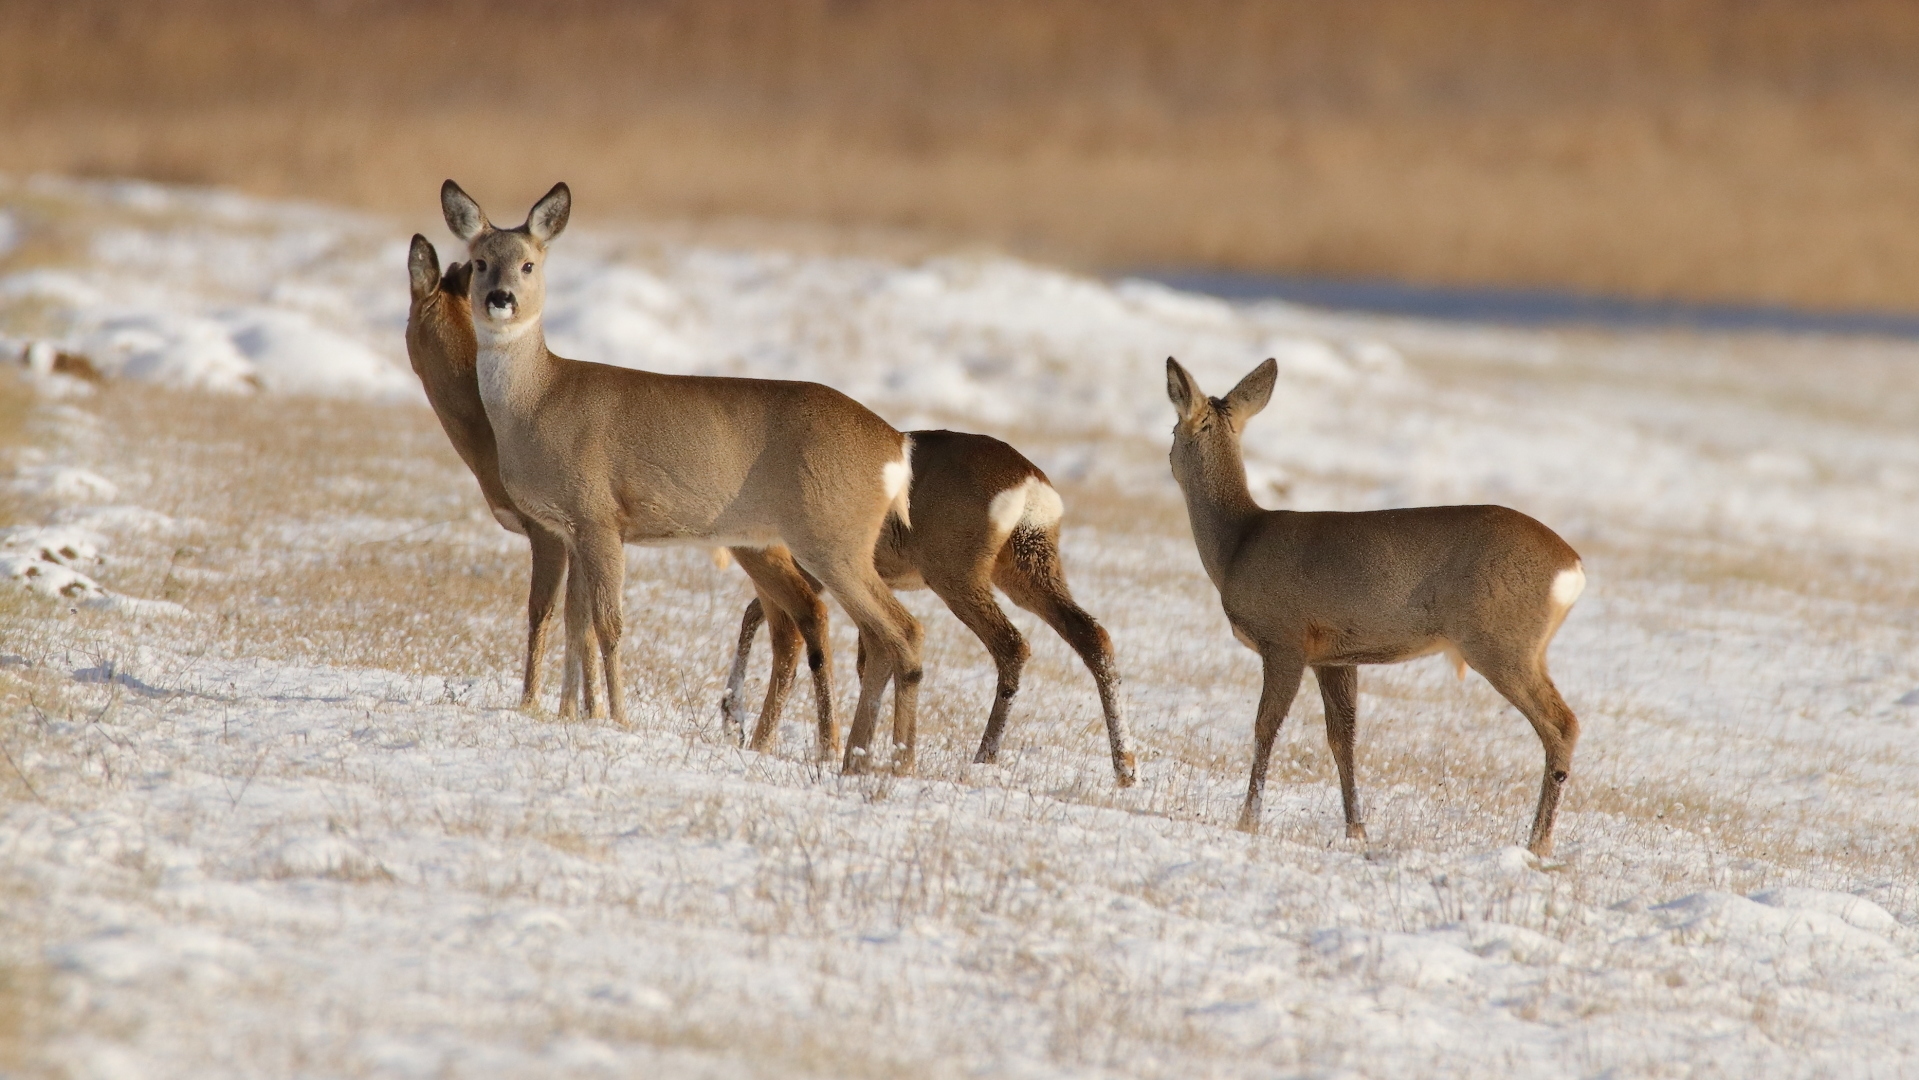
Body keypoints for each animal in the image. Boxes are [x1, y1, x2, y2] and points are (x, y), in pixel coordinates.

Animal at [441, 177, 921, 767]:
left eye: (529, 264)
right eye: (480, 261)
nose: (500, 299)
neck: (539, 400)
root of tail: (896, 446)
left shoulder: (598, 514)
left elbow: (609, 623)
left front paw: (617, 717)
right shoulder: (571, 527)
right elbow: (577, 622)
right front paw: (568, 713)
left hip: (833, 536)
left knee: (902, 630)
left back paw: (892, 762)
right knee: (876, 637)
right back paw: (858, 757)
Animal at [721, 429, 1136, 786]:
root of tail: (1031, 485)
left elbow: (773, 621)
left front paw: (737, 721)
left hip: (955, 571)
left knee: (1012, 644)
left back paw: (984, 758)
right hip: (1029, 563)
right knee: (1092, 635)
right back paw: (1126, 769)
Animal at [1166, 358, 1588, 859]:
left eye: (1172, 429)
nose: (1167, 459)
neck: (1237, 544)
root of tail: (1573, 567)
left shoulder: (1284, 638)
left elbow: (1266, 726)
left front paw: (1247, 820)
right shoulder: (1333, 655)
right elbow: (1342, 739)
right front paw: (1357, 830)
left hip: (1501, 641)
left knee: (1561, 723)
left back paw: (1538, 843)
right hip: (1526, 647)